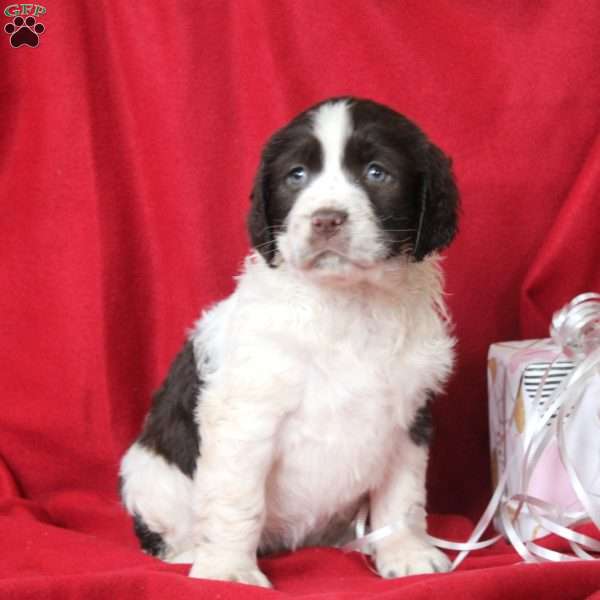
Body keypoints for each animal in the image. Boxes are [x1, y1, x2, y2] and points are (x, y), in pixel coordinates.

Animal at [120, 96, 460, 588]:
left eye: (377, 172)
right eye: (296, 175)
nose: (326, 219)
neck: (347, 304)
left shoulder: (408, 415)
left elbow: (403, 498)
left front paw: (406, 552)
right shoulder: (245, 415)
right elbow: (237, 499)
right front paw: (229, 572)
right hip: (148, 476)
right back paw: (187, 553)